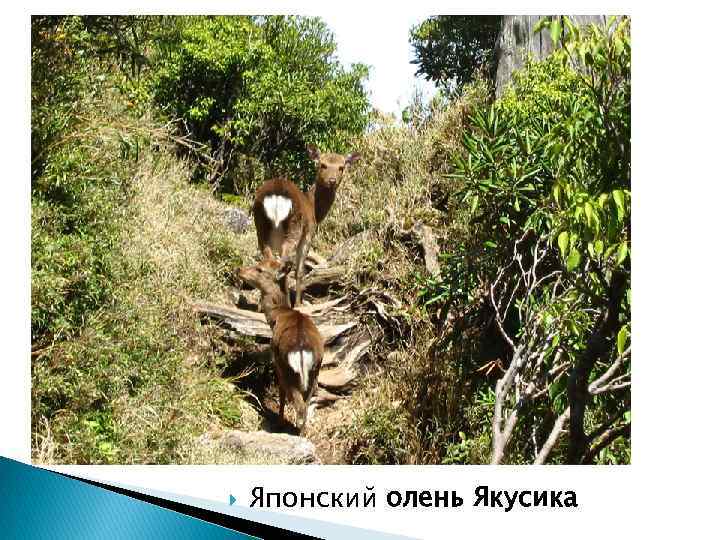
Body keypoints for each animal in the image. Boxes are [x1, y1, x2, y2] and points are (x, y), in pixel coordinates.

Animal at [237, 249, 324, 434]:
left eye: (260, 269)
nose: (239, 269)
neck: (278, 315)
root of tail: (302, 350)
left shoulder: (276, 362)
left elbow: (281, 394)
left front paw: (279, 422)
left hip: (288, 369)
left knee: (299, 406)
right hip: (315, 371)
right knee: (306, 403)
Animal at [252, 145, 360, 307]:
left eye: (341, 167)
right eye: (323, 165)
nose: (332, 180)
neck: (314, 210)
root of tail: (276, 196)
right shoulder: (309, 234)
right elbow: (300, 271)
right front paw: (298, 303)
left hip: (260, 225)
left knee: (268, 257)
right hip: (294, 227)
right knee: (284, 262)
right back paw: (288, 303)